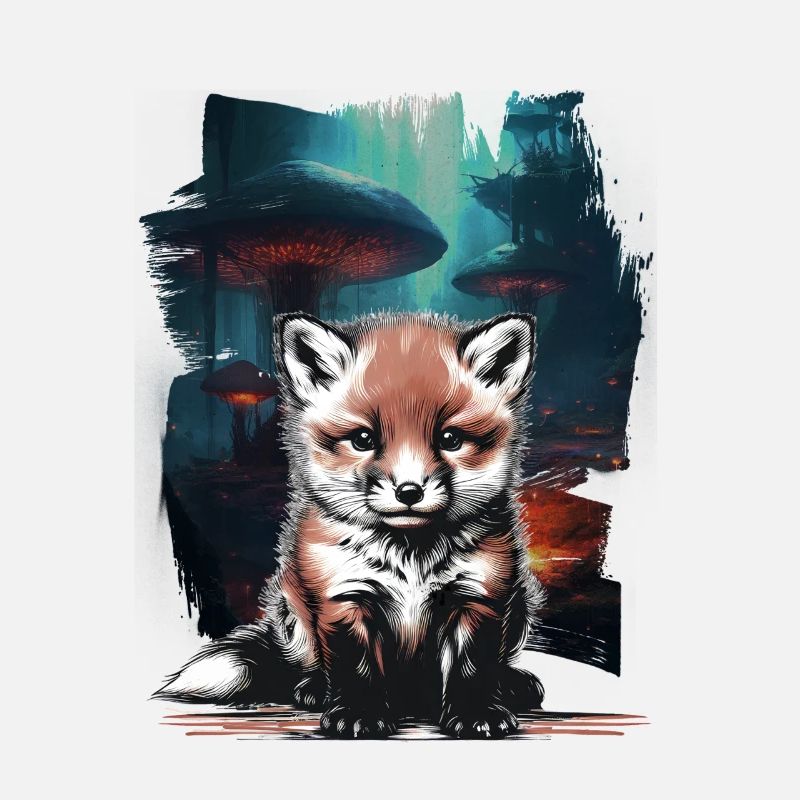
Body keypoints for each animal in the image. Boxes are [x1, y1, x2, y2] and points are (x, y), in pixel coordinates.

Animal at [155, 311, 546, 738]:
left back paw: (512, 684)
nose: (409, 491)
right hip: (293, 611)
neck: (410, 557)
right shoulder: (343, 596)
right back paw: (312, 688)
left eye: (450, 438)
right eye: (362, 439)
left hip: (520, 605)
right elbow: (356, 666)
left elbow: (472, 665)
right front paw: (359, 712)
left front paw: (476, 711)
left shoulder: (477, 595)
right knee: (303, 664)